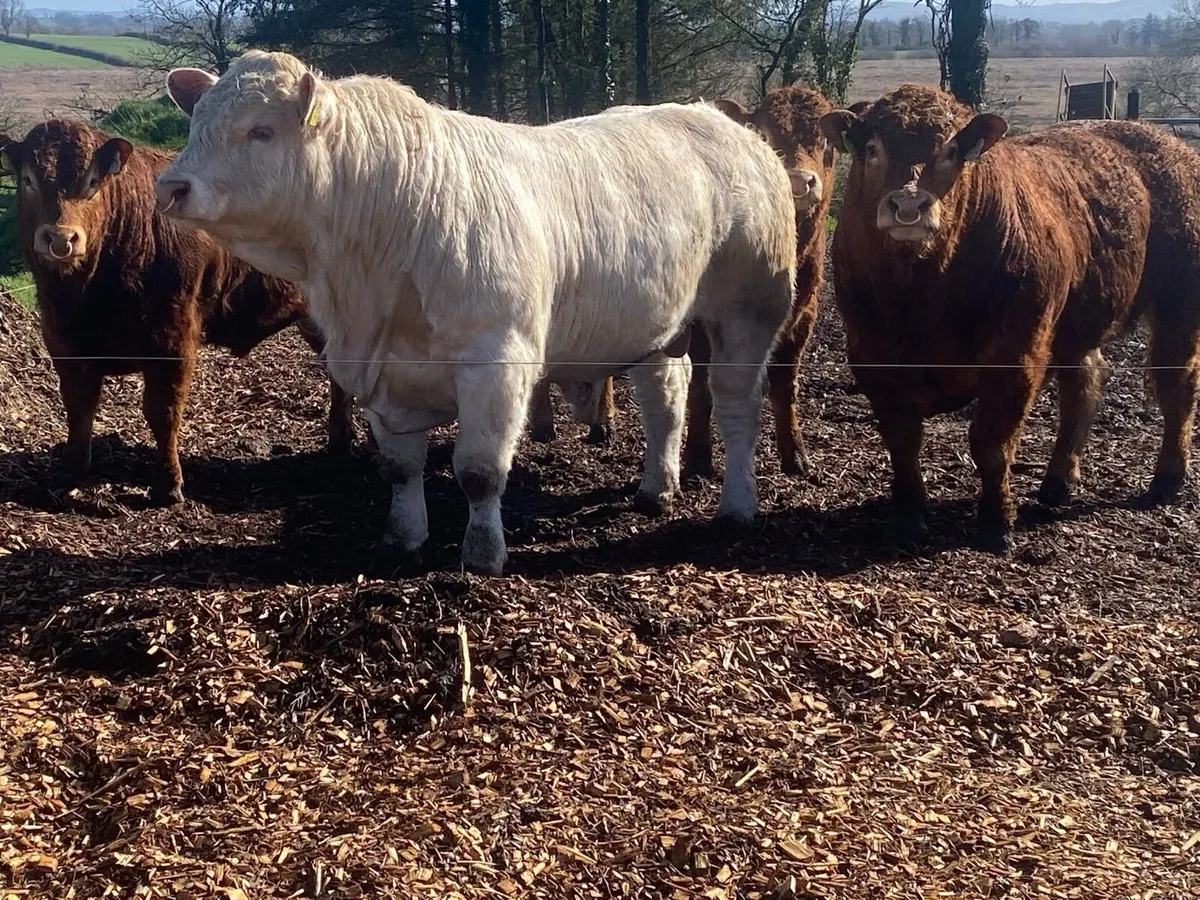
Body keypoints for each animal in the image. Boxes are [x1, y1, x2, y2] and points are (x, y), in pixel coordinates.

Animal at [0, 120, 354, 504]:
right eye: (28, 180)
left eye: (92, 182)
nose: (61, 239)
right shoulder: (61, 339)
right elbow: (78, 405)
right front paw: (72, 469)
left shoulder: (173, 336)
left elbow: (163, 410)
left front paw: (168, 483)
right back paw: (340, 441)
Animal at [155, 50, 797, 574]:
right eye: (196, 123)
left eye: (260, 131)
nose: (171, 186)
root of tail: (728, 125)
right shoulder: (384, 372)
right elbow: (400, 467)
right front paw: (403, 538)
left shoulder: (496, 360)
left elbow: (480, 470)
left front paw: (482, 555)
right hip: (660, 326)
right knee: (667, 396)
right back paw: (656, 487)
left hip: (749, 312)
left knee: (738, 407)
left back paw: (737, 506)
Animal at [683, 85, 840, 479]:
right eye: (765, 135)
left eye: (827, 141)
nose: (799, 182)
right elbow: (701, 386)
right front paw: (697, 457)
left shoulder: (803, 314)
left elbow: (784, 385)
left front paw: (795, 454)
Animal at [819, 84, 1200, 553]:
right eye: (872, 149)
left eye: (951, 152)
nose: (908, 204)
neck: (922, 295)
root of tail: (1162, 139)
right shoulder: (872, 355)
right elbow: (903, 440)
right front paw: (908, 517)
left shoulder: (1016, 354)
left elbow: (991, 441)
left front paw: (996, 522)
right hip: (1077, 324)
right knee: (1086, 381)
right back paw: (1058, 482)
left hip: (1178, 302)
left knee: (1176, 383)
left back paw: (1167, 478)